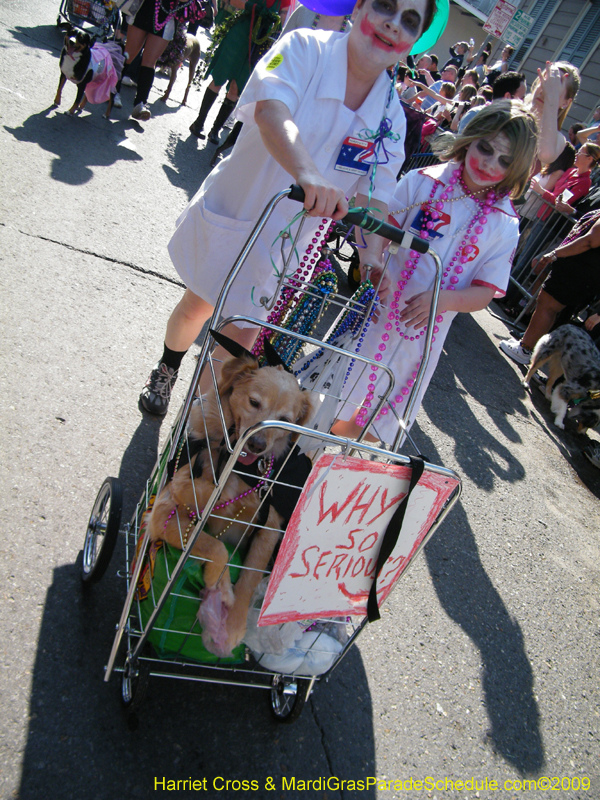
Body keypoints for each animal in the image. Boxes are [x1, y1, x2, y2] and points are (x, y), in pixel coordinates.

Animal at [149, 338, 314, 656]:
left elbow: (249, 577)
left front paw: (235, 624)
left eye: (285, 420)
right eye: (254, 402)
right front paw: (219, 584)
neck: (239, 469)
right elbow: (216, 547)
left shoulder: (268, 529)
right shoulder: (163, 512)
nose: (257, 444)